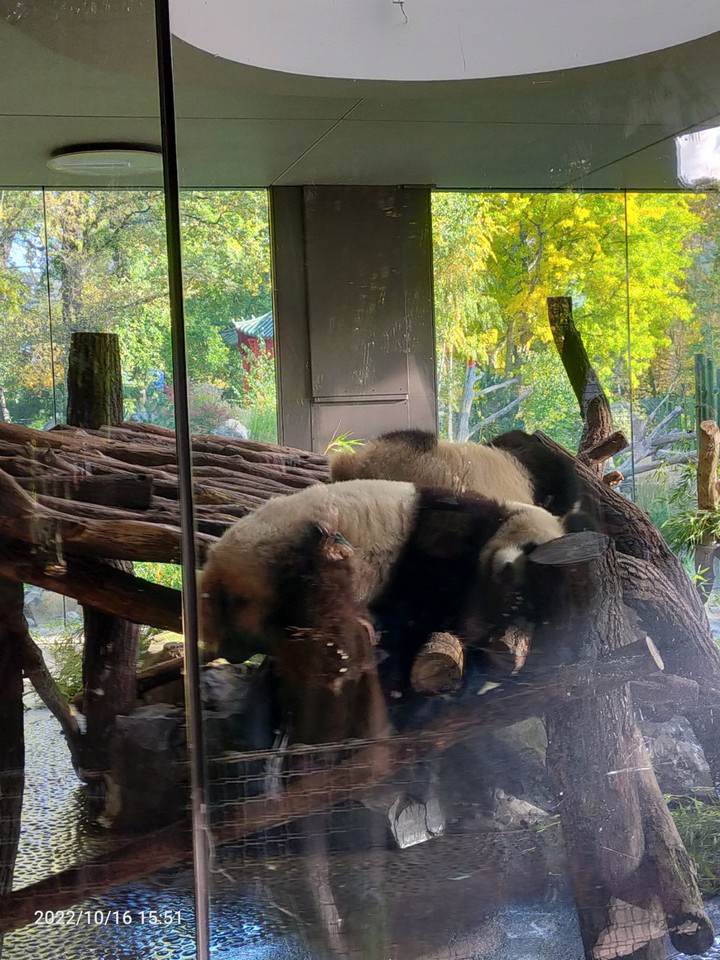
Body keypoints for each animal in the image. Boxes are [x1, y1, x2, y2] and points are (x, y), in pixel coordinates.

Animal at [200, 478, 566, 695]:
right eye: (531, 549)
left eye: (525, 597)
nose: (507, 571)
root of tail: (217, 566)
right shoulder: (451, 530)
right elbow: (423, 597)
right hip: (282, 546)